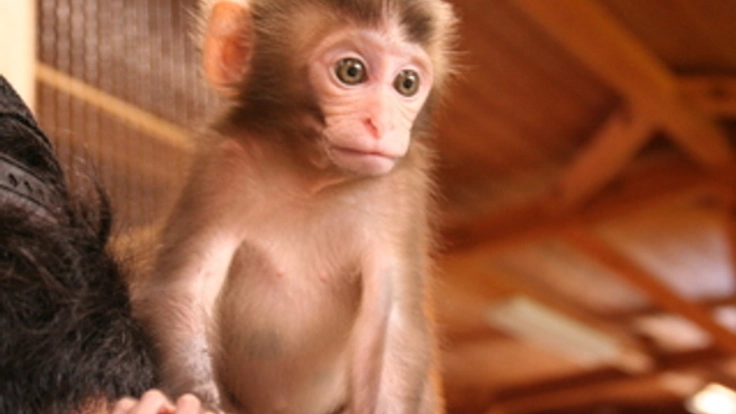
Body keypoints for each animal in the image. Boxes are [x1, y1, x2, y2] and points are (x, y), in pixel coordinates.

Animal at [134, 0, 457, 413]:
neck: (312, 177)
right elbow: (186, 288)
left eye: (407, 83)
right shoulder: (223, 162)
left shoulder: (400, 190)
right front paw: (195, 402)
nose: (382, 125)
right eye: (351, 71)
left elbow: (391, 322)